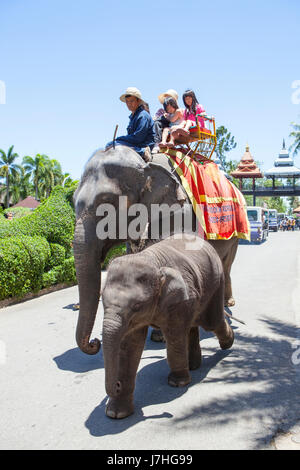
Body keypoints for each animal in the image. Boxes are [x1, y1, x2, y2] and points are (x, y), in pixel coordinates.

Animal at [74, 145, 239, 354]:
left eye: (107, 203)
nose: (95, 342)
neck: (145, 163)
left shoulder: (179, 210)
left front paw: (160, 335)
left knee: (227, 264)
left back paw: (228, 303)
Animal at [102, 235, 234, 418]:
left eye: (137, 306)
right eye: (102, 301)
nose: (117, 385)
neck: (150, 259)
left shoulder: (180, 298)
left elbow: (174, 336)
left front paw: (178, 383)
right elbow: (129, 346)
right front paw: (116, 414)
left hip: (216, 281)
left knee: (212, 322)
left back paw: (228, 343)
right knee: (192, 326)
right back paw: (193, 365)